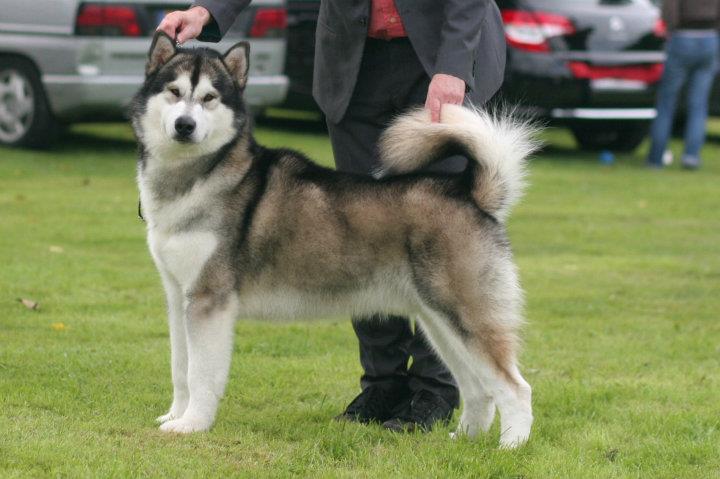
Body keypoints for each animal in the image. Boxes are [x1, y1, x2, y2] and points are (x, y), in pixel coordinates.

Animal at [131, 33, 536, 450]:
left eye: (209, 97)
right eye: (174, 92)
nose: (185, 125)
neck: (196, 176)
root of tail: (469, 193)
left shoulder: (210, 300)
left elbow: (200, 374)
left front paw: (192, 425)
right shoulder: (179, 296)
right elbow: (180, 368)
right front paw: (174, 416)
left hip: (464, 314)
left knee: (515, 387)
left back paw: (511, 446)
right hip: (437, 321)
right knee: (478, 387)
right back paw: (464, 439)